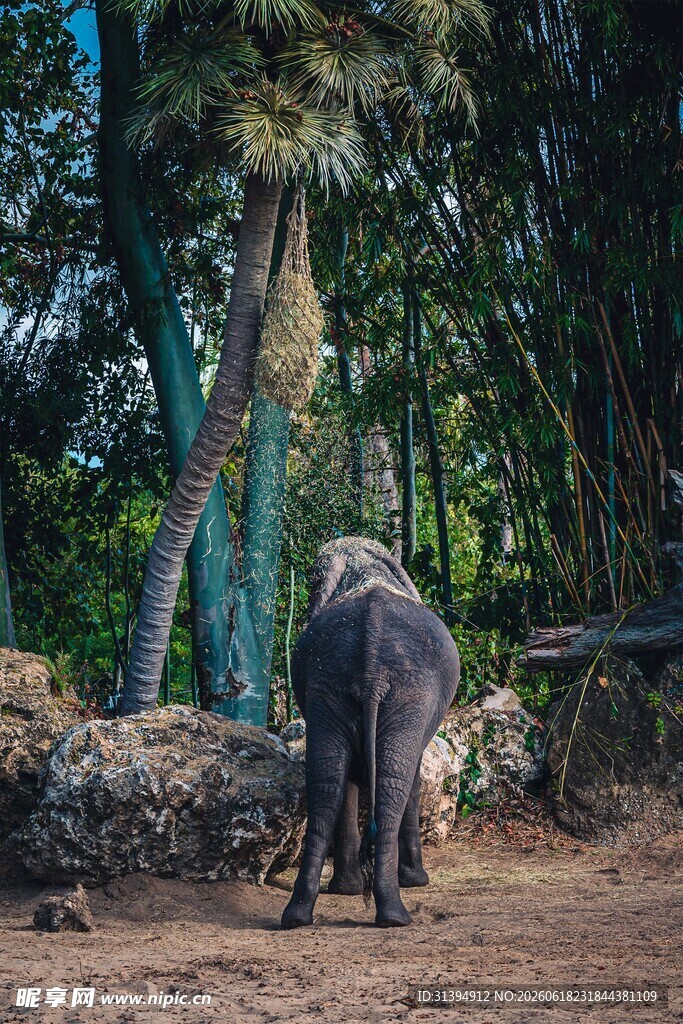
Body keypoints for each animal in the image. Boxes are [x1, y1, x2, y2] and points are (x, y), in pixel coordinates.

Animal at [281, 537, 459, 929]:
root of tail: (370, 667)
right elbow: (413, 774)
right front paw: (416, 881)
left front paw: (346, 890)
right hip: (412, 693)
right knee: (394, 783)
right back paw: (395, 915)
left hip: (328, 684)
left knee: (326, 785)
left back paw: (298, 915)